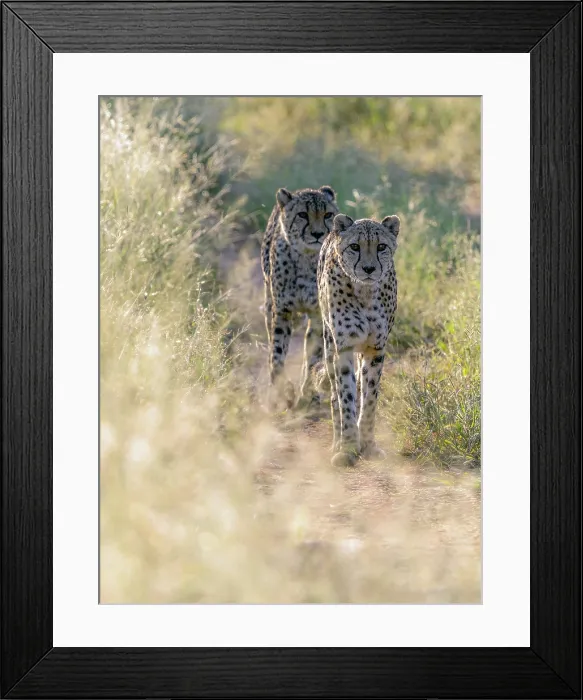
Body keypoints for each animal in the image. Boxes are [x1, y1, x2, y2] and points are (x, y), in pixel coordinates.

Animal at [261, 185, 338, 409]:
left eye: (328, 215)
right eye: (302, 215)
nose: (318, 234)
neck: (306, 256)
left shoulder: (318, 315)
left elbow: (313, 354)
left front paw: (309, 393)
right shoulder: (282, 311)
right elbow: (276, 354)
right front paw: (283, 390)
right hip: (269, 303)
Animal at [317, 212, 400, 467]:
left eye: (381, 246)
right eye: (355, 246)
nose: (369, 268)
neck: (364, 292)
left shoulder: (376, 349)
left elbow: (370, 399)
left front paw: (368, 445)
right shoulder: (343, 347)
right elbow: (345, 396)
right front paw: (348, 448)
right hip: (328, 345)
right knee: (334, 396)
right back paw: (337, 441)